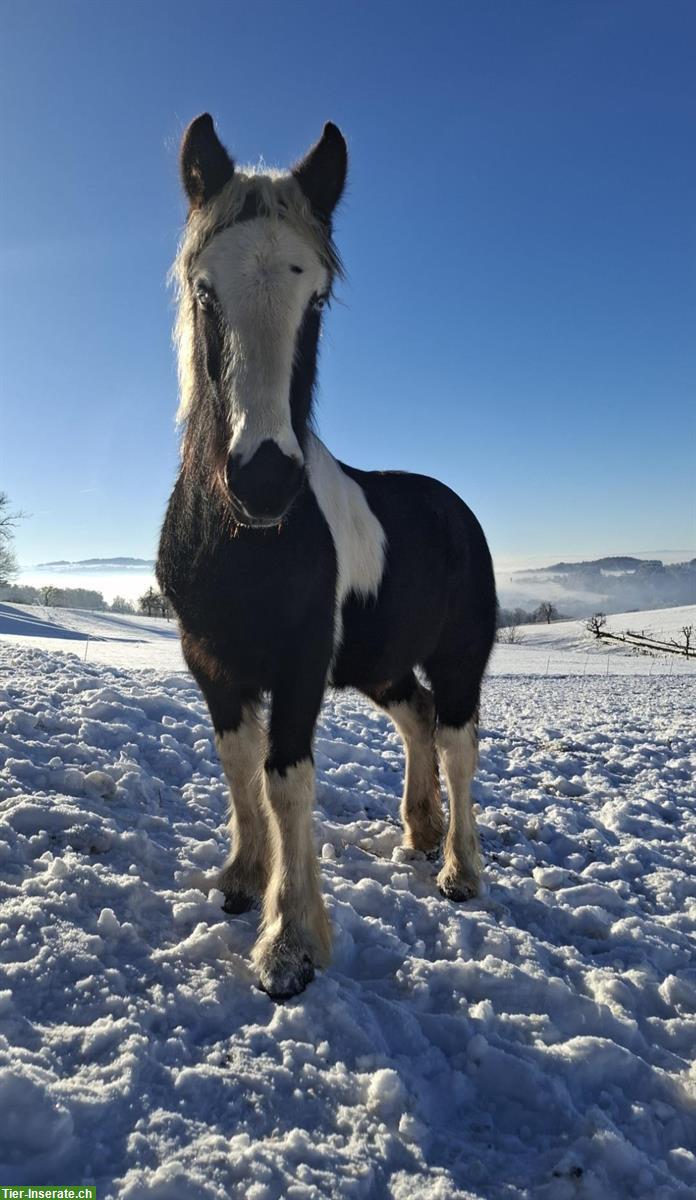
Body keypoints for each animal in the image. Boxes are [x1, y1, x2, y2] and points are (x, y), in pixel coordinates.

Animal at [156, 114, 496, 993]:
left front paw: (291, 942)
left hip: (459, 661)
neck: (241, 546)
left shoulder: (303, 661)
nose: (264, 479)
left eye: (316, 298)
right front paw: (243, 879)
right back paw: (418, 832)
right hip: (380, 664)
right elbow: (238, 763)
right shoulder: (211, 661)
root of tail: (454, 507)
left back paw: (460, 868)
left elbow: (286, 780)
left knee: (457, 741)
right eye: (205, 289)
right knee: (416, 720)